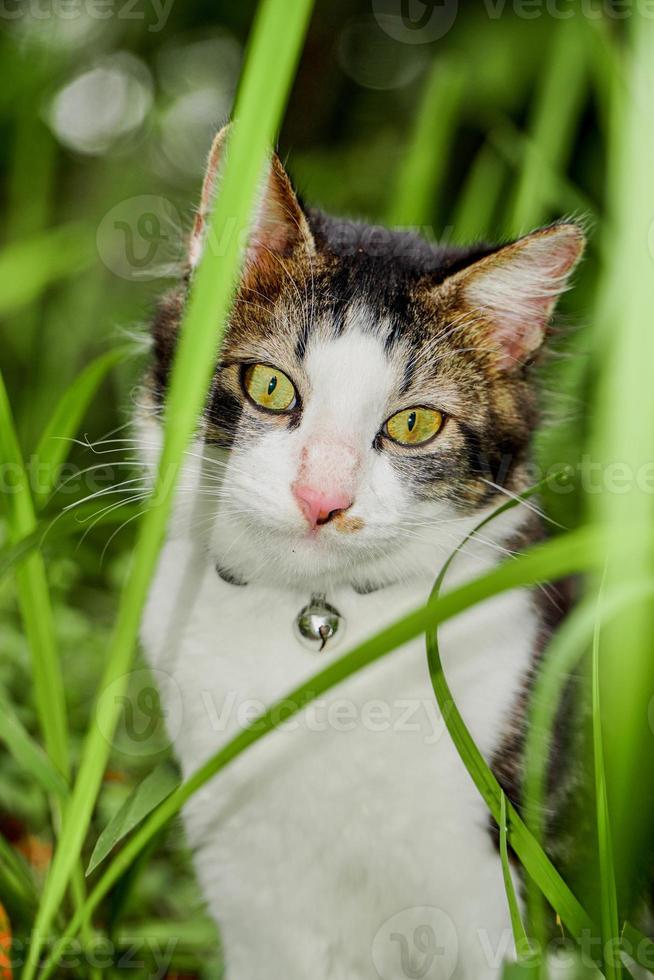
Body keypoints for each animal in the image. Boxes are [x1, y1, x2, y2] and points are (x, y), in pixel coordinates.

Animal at [137, 126, 584, 976]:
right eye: (269, 387)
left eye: (414, 425)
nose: (323, 500)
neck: (319, 631)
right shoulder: (249, 891)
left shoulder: (500, 885)